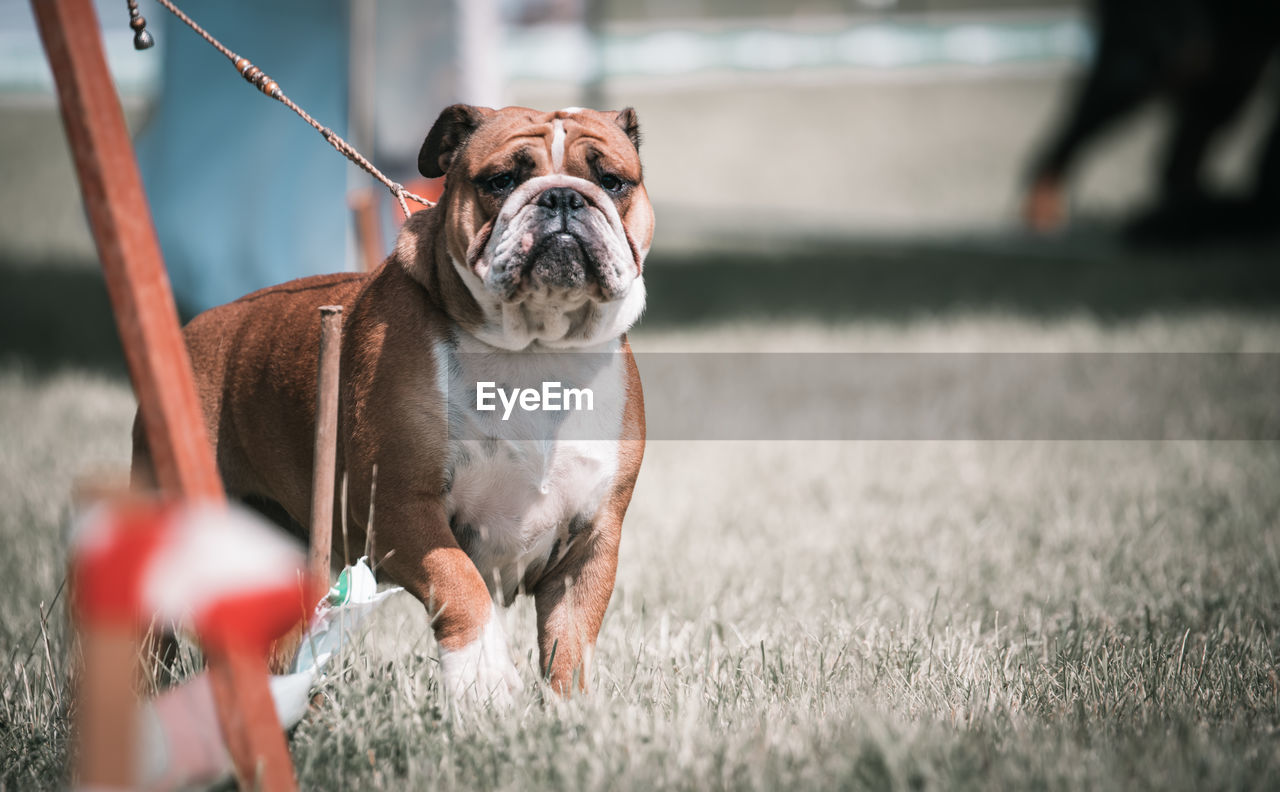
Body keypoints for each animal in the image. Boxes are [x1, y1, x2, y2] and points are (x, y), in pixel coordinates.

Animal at [132, 103, 650, 701]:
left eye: (612, 181)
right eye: (501, 180)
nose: (563, 197)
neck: (536, 350)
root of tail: (192, 330)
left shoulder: (592, 541)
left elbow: (571, 635)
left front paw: (569, 707)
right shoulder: (402, 506)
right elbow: (461, 582)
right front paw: (483, 680)